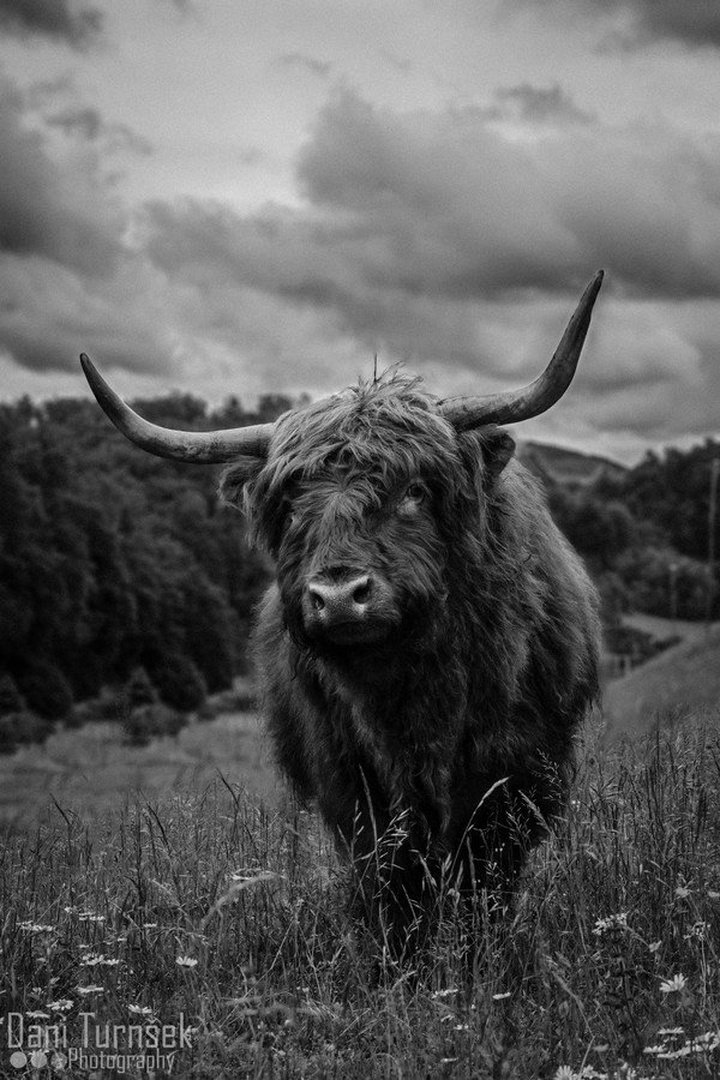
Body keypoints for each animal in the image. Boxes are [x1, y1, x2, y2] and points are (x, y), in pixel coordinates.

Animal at [80, 271, 604, 954]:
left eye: (414, 491)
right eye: (291, 506)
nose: (337, 595)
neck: (410, 698)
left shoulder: (510, 770)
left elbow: (481, 874)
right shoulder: (349, 776)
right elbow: (389, 877)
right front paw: (396, 958)